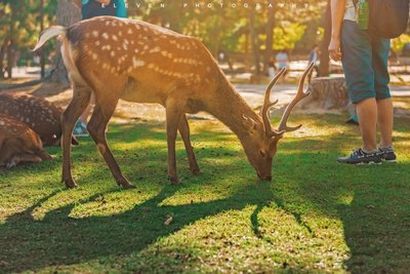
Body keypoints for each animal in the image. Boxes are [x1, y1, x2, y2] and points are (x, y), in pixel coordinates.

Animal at [33, 16, 314, 188]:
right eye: (264, 151)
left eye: (276, 152)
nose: (267, 176)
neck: (205, 91)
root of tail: (66, 32)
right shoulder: (176, 93)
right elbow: (171, 133)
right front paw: (174, 176)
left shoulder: (176, 99)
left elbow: (185, 131)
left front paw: (195, 169)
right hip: (108, 84)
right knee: (95, 126)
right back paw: (123, 179)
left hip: (80, 85)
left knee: (67, 117)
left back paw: (68, 180)